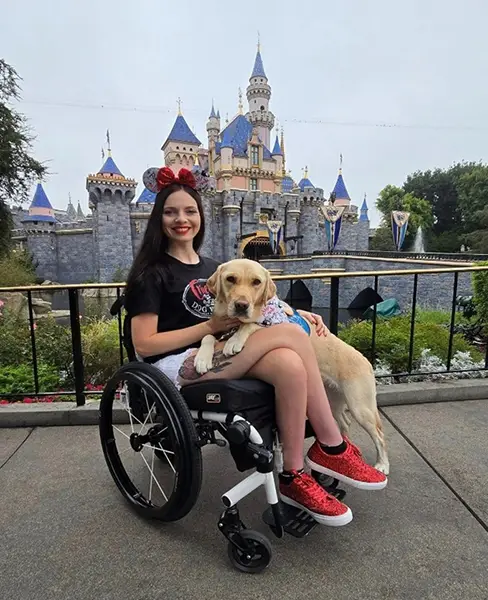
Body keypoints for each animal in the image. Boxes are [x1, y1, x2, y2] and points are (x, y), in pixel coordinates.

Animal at [194, 258, 388, 474]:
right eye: (230, 279)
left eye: (256, 282)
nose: (241, 305)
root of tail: (366, 360)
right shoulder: (219, 331)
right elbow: (207, 336)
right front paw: (202, 359)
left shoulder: (276, 325)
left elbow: (252, 325)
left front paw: (235, 340)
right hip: (332, 401)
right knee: (344, 423)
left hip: (360, 407)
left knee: (380, 435)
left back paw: (382, 465)